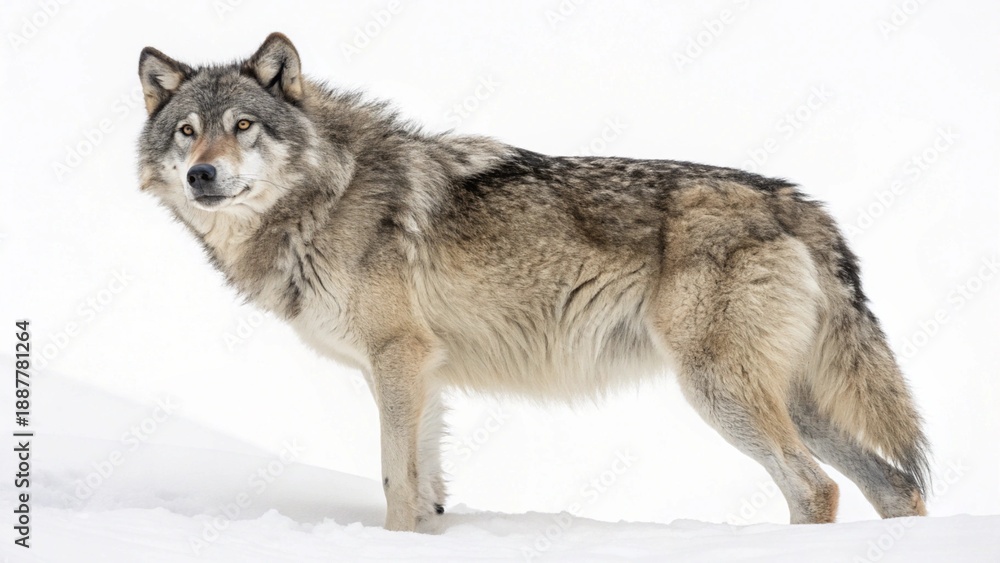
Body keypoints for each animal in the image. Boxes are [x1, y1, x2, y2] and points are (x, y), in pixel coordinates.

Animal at [137, 33, 930, 531]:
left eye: (244, 126)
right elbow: (425, 490)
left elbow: (397, 484)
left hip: (721, 390)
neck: (325, 195)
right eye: (188, 131)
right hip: (790, 397)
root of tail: (794, 200)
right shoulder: (418, 372)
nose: (203, 174)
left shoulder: (399, 360)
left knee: (817, 486)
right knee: (895, 485)